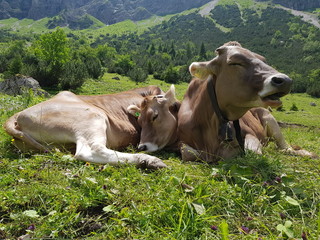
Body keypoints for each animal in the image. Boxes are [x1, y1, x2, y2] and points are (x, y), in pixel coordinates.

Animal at [129, 42, 316, 162]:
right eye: (139, 121)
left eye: (155, 116)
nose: (284, 80)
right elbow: (188, 153)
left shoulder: (250, 134)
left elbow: (252, 153)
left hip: (270, 120)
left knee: (284, 147)